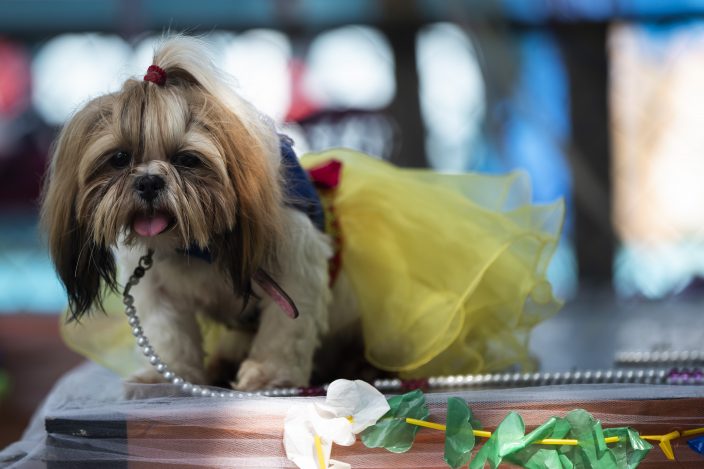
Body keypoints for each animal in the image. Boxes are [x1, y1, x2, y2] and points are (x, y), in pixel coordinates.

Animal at [40, 36, 358, 390]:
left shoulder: (295, 272)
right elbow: (168, 334)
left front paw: (270, 375)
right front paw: (166, 374)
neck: (196, 245)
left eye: (187, 160)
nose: (148, 181)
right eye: (120, 158)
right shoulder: (155, 289)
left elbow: (284, 331)